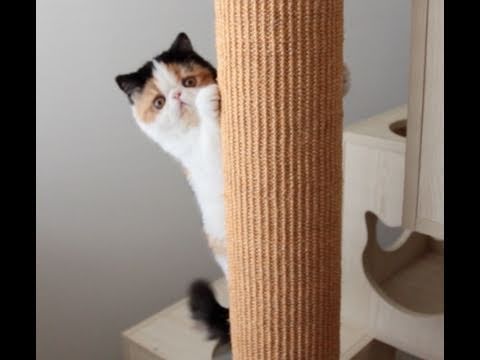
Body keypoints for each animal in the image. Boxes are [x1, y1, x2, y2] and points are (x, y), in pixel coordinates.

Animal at [115, 33, 350, 346]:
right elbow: (212, 139)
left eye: (188, 81)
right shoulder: (204, 159)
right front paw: (208, 102)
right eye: (159, 102)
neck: (194, 129)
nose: (178, 96)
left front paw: (343, 76)